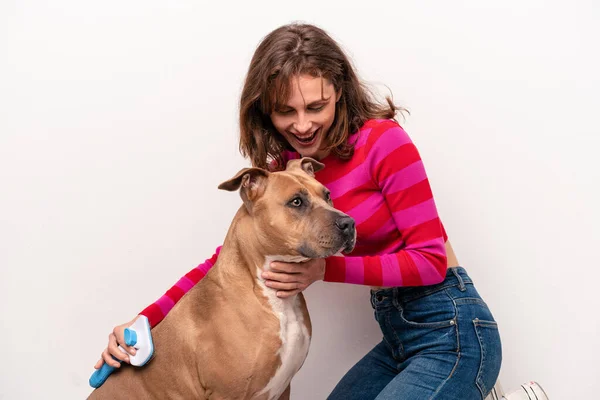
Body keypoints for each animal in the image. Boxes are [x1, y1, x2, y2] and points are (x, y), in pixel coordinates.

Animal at [85, 158, 356, 398]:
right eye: (296, 202)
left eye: (327, 195)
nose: (349, 223)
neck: (270, 297)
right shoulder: (226, 394)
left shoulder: (283, 388)